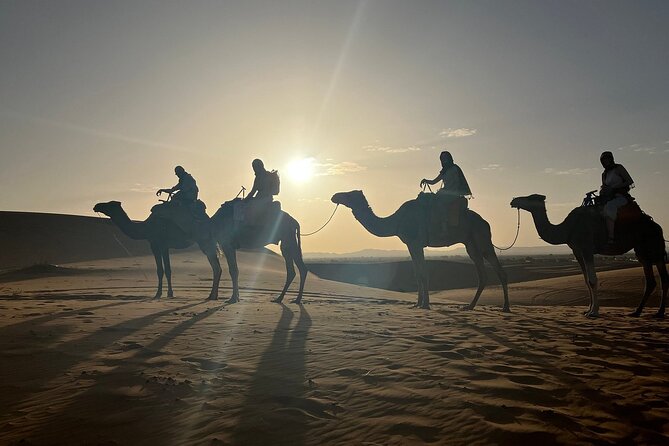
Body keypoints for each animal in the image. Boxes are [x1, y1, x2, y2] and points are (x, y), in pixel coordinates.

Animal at [92, 201, 222, 300]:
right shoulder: (160, 246)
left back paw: (212, 296)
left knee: (216, 267)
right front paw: (166, 293)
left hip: (205, 242)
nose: (96, 206)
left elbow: (163, 270)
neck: (146, 228)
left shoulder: (159, 244)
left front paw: (162, 294)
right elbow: (164, 270)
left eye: (109, 204)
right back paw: (213, 295)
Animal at [328, 191, 506, 310]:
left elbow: (423, 273)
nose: (334, 196)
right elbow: (417, 273)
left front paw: (425, 304)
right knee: (482, 274)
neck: (397, 221)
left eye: (349, 195)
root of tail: (486, 223)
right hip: (471, 244)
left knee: (499, 269)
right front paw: (417, 303)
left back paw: (505, 307)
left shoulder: (416, 243)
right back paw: (470, 306)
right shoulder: (411, 245)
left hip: (482, 239)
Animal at [508, 194, 664, 318]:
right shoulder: (577, 250)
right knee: (656, 279)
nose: (513, 200)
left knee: (658, 277)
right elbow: (586, 280)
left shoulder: (587, 247)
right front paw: (588, 309)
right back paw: (645, 312)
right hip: (643, 249)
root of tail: (657, 225)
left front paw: (594, 312)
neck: (568, 228)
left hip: (651, 245)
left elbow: (592, 280)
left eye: (531, 197)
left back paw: (650, 312)